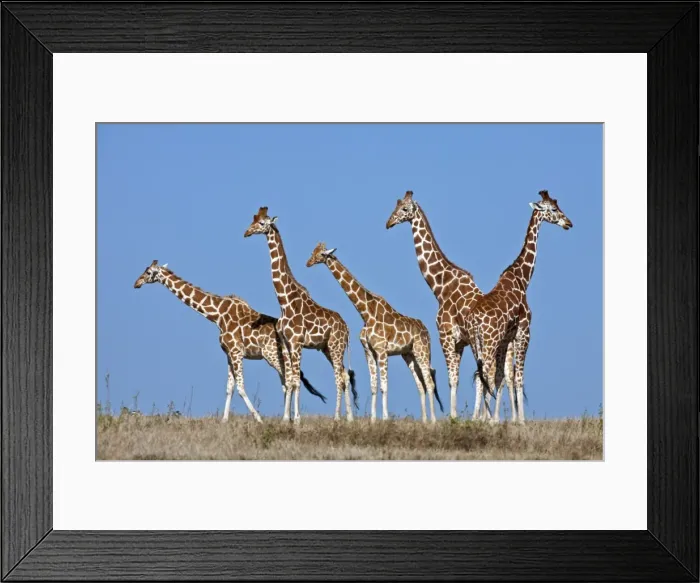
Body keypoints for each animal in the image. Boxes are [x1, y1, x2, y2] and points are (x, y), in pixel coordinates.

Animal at [133, 260, 326, 423]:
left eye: (148, 272)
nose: (136, 283)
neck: (216, 315)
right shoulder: (228, 354)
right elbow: (229, 388)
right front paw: (224, 420)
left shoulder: (236, 352)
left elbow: (240, 387)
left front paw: (258, 419)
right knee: (287, 382)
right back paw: (288, 418)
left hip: (272, 355)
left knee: (290, 380)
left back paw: (290, 419)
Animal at [244, 207, 358, 423]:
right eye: (252, 220)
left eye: (262, 223)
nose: (246, 232)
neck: (284, 301)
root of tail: (347, 328)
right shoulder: (286, 343)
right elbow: (290, 380)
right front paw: (285, 418)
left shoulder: (297, 343)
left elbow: (296, 380)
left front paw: (296, 419)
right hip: (326, 348)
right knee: (344, 375)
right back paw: (349, 418)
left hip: (335, 346)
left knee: (339, 376)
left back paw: (337, 417)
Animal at [306, 242, 444, 423]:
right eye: (312, 252)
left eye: (320, 254)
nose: (308, 263)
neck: (366, 312)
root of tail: (426, 331)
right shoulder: (369, 351)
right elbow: (373, 386)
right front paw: (372, 420)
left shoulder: (382, 350)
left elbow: (384, 386)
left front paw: (385, 419)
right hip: (409, 354)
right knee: (420, 385)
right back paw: (424, 420)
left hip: (422, 351)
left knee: (430, 382)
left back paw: (434, 420)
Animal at [386, 190, 527, 421]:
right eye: (395, 205)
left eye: (405, 208)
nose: (388, 223)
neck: (440, 286)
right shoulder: (460, 341)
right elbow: (459, 378)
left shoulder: (445, 335)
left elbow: (453, 378)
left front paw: (453, 417)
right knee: (503, 376)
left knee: (495, 375)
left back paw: (492, 418)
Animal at [467, 190, 573, 423]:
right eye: (553, 209)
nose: (569, 223)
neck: (522, 278)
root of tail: (474, 321)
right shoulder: (524, 332)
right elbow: (518, 376)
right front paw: (521, 420)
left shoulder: (508, 337)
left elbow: (505, 376)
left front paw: (506, 419)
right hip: (490, 341)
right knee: (485, 373)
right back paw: (486, 419)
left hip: (476, 344)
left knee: (481, 375)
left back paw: (481, 418)